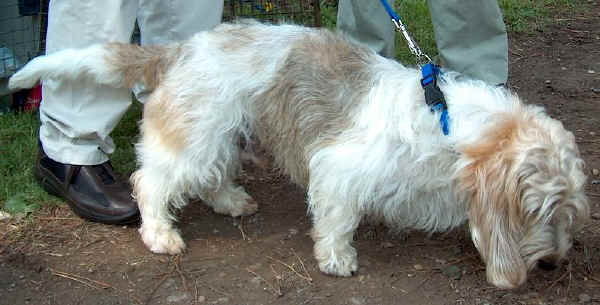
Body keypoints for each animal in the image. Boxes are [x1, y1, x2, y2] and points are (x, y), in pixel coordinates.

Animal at [10, 20, 592, 288]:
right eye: (540, 211)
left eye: (570, 213)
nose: (554, 264)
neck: (444, 122)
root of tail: (180, 49)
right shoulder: (338, 170)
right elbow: (335, 220)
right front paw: (337, 260)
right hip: (195, 139)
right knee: (151, 183)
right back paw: (160, 235)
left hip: (223, 135)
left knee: (208, 178)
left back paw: (232, 202)